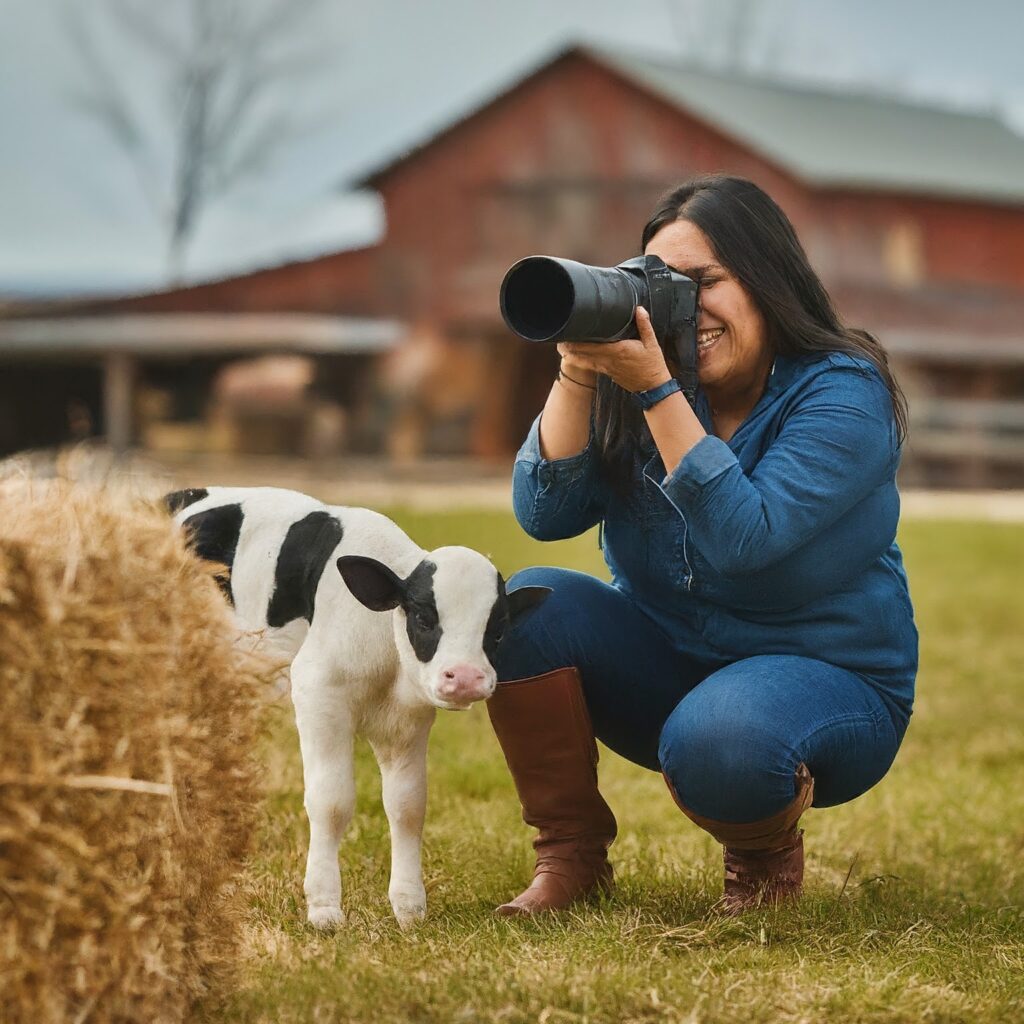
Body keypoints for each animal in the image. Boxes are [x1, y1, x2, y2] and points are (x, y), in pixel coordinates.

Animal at [165, 487, 552, 929]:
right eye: (423, 617)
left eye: (498, 629)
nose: (467, 677)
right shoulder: (319, 694)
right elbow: (331, 801)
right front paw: (324, 907)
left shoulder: (406, 720)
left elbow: (407, 805)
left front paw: (409, 906)